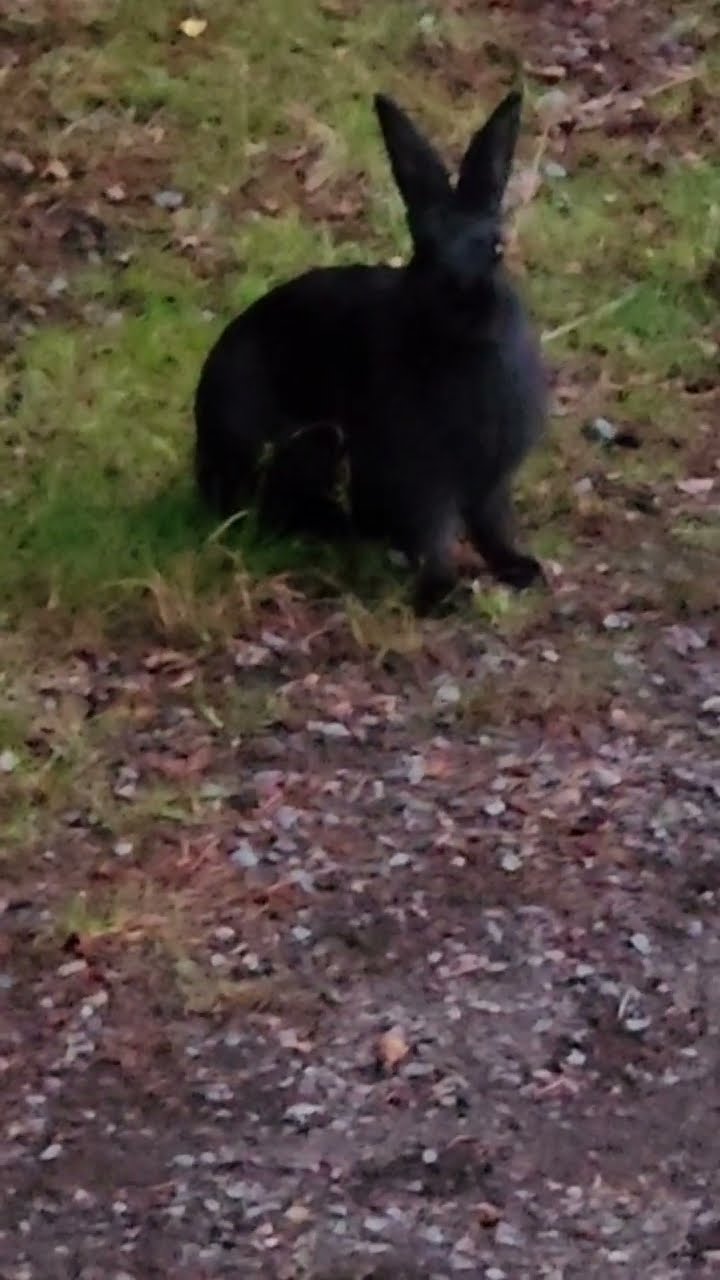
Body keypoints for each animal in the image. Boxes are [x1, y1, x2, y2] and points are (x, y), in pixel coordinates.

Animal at [194, 87, 548, 612]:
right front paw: (442, 594)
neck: (464, 350)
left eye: (497, 247)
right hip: (311, 446)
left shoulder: (490, 481)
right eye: (424, 247)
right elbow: (432, 536)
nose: (463, 302)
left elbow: (494, 528)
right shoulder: (421, 479)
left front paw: (522, 569)